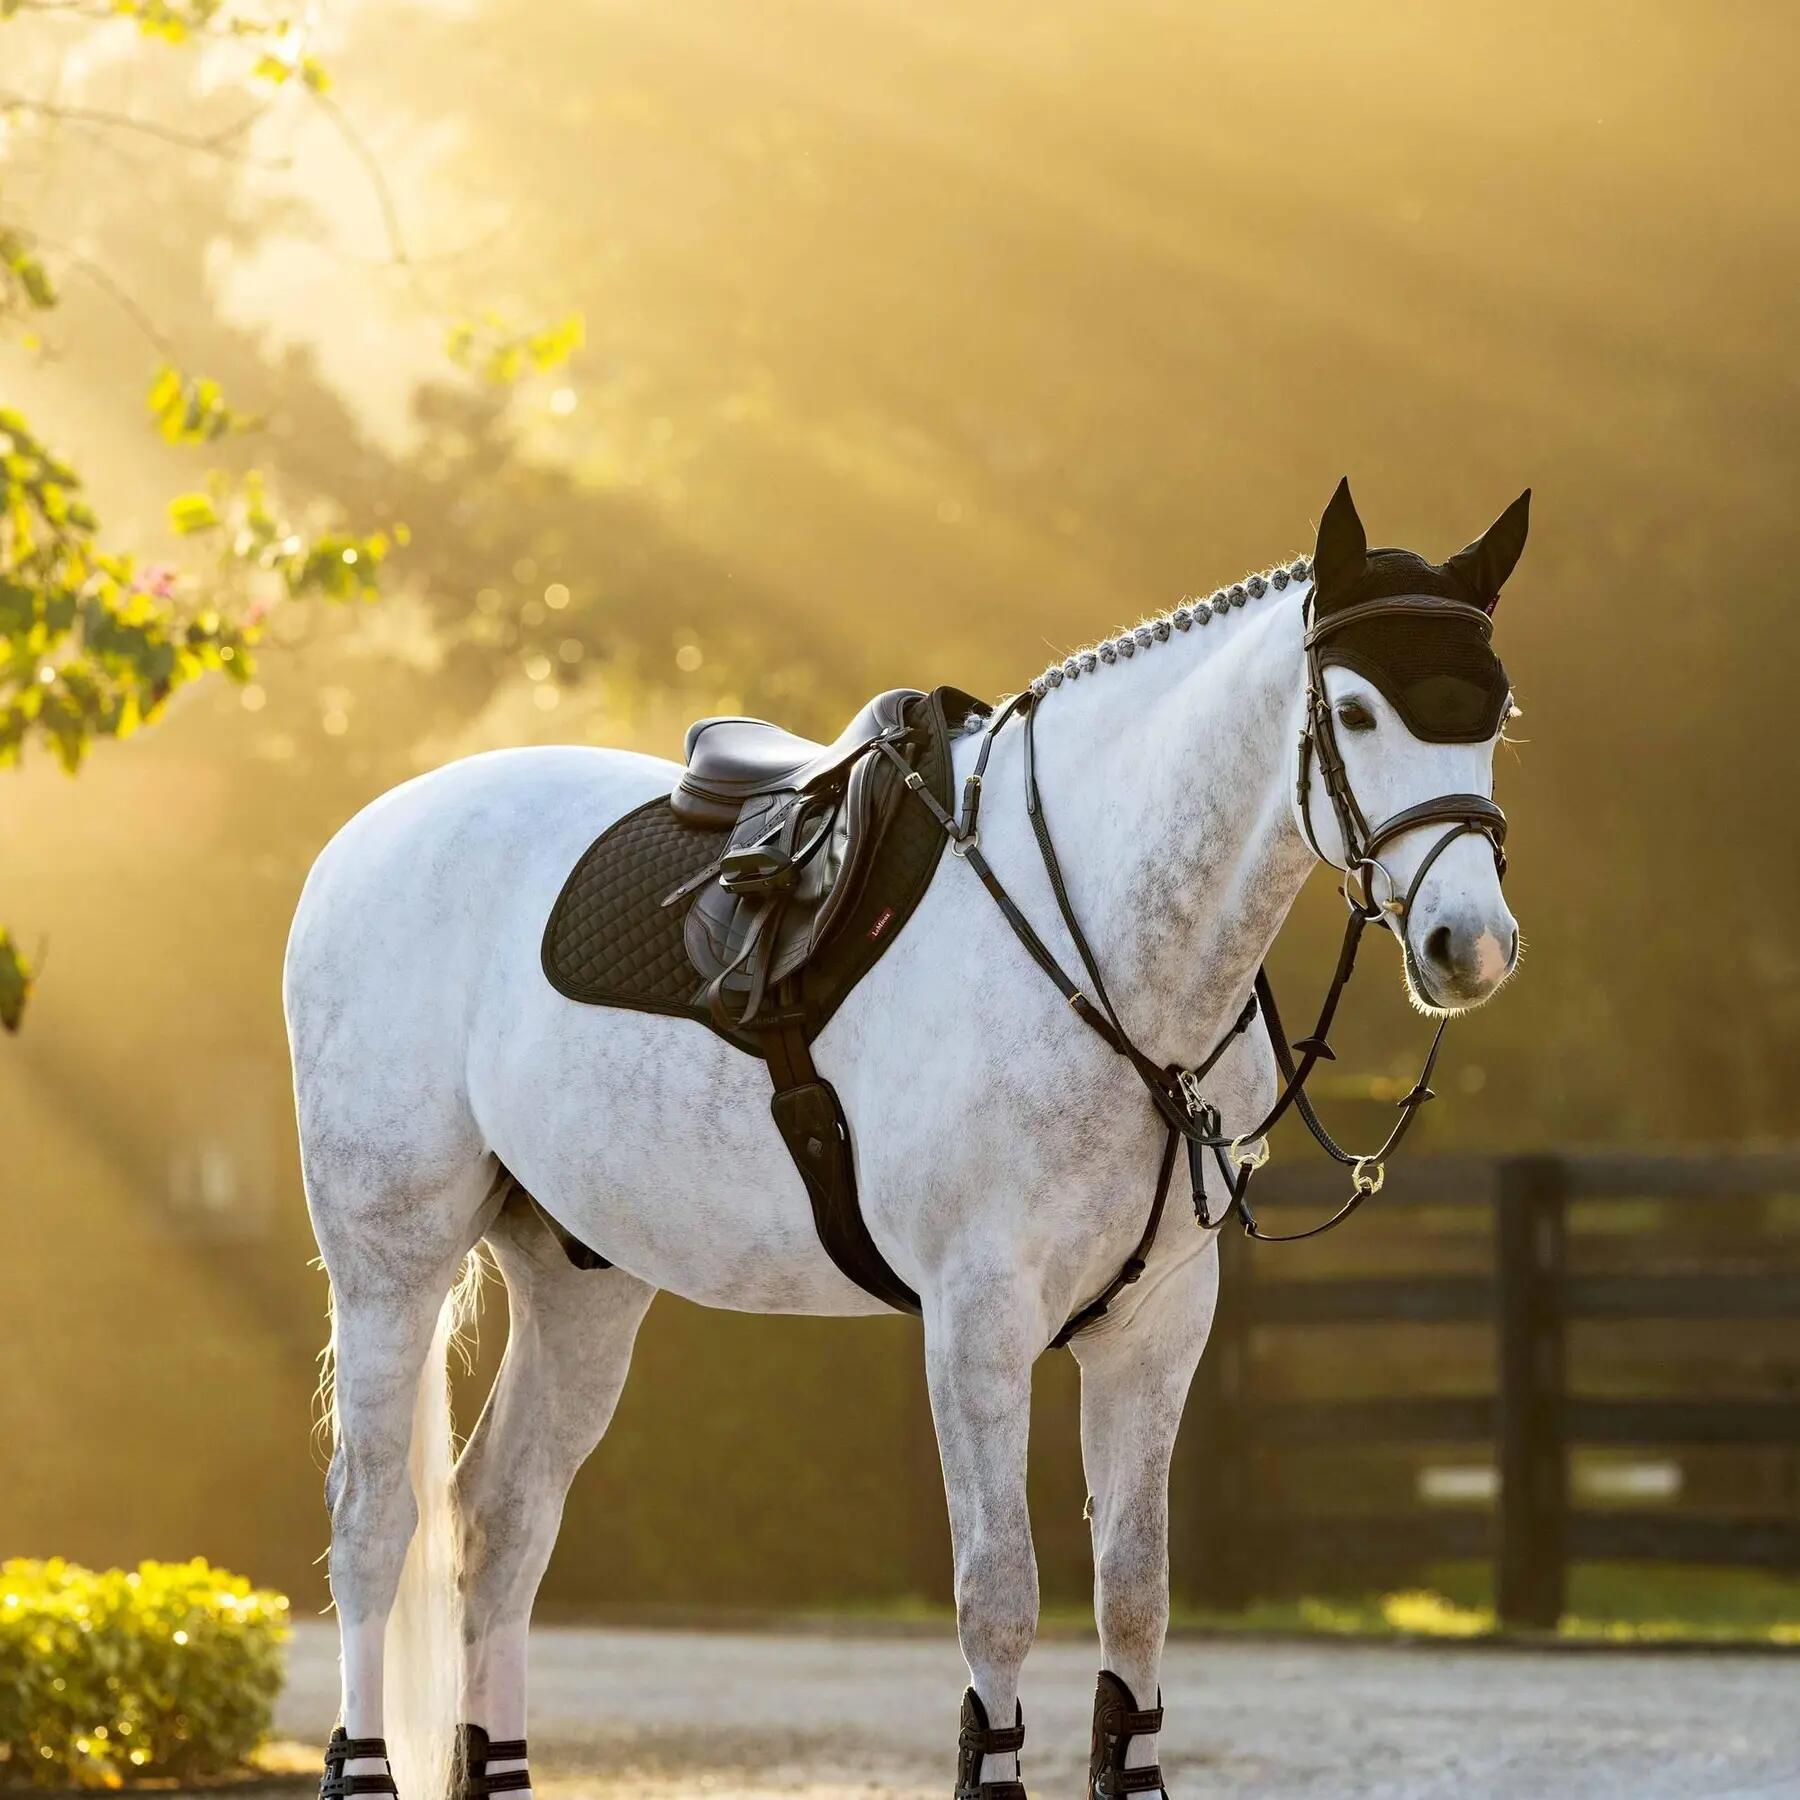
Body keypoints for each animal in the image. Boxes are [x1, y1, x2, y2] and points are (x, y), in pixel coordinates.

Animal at [285, 477, 1530, 1800]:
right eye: (1353, 709)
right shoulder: (976, 1323)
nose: (1469, 944)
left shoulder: (1156, 1328)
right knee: (373, 1524)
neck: (1096, 942)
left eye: (1496, 709)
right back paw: (362, 1762)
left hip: (581, 1282)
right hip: (390, 1264)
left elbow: (1135, 1597)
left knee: (502, 1523)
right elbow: (1000, 1596)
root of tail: (363, 839)